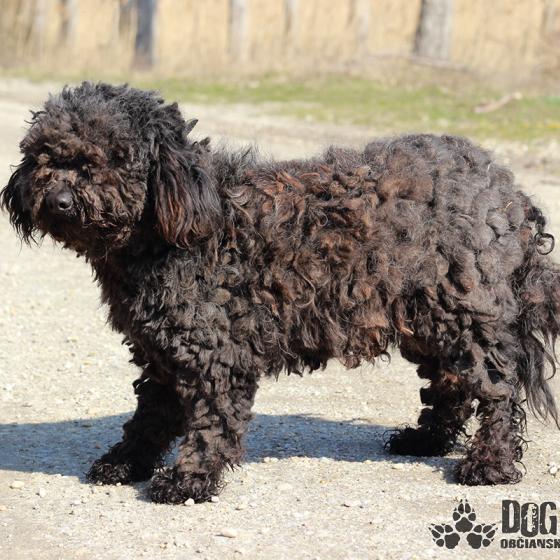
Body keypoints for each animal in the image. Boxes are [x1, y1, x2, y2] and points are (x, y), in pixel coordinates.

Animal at [2, 82, 559, 504]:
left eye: (114, 157)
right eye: (44, 155)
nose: (60, 199)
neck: (181, 226)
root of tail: (507, 190)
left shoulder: (214, 354)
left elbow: (210, 424)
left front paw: (189, 480)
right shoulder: (162, 350)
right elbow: (148, 419)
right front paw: (124, 464)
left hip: (468, 313)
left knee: (498, 390)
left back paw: (490, 463)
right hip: (425, 318)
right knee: (451, 386)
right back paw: (426, 440)